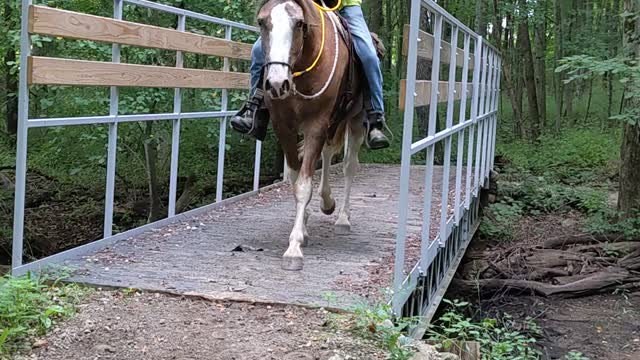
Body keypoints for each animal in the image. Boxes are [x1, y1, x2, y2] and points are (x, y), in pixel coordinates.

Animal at [256, 0, 380, 270]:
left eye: (299, 24)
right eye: (261, 22)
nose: (276, 83)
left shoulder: (316, 124)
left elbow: (303, 185)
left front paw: (294, 249)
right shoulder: (284, 126)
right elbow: (295, 177)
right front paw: (303, 227)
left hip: (354, 121)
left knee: (348, 166)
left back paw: (342, 217)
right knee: (327, 153)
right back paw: (326, 203)